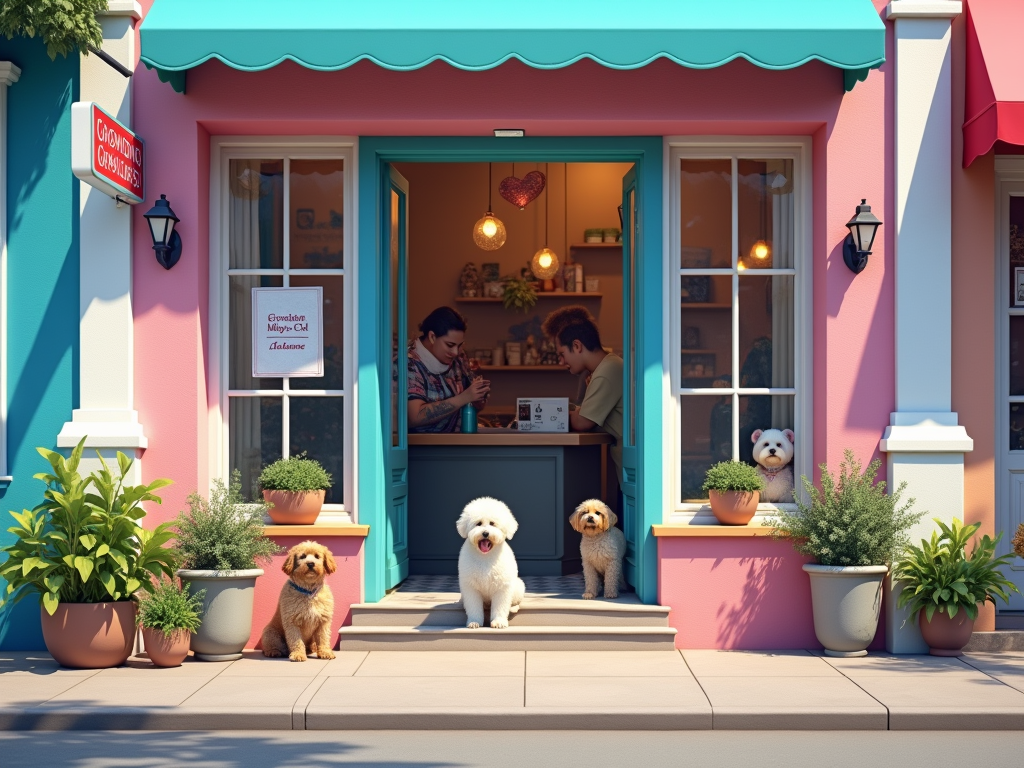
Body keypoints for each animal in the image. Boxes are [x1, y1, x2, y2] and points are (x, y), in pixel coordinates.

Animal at [460, 499, 532, 630]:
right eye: (478, 523)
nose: (485, 533)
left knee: (514, 601)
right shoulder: (471, 587)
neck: (485, 557)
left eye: (492, 523)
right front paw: (474, 621)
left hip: (518, 587)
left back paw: (513, 607)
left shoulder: (502, 587)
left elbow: (500, 606)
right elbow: (473, 606)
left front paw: (499, 622)